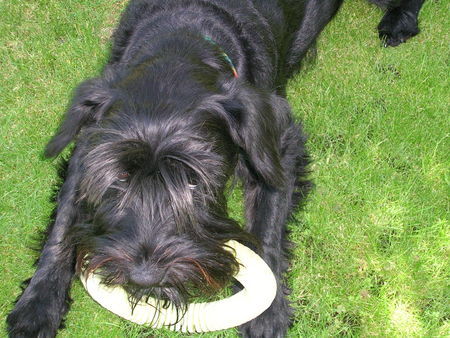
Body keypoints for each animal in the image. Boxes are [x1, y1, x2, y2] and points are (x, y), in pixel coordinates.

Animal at [7, 0, 424, 338]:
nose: (145, 277)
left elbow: (268, 227)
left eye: (194, 181)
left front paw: (267, 313)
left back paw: (398, 22)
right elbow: (62, 222)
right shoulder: (88, 145)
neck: (181, 39)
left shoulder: (278, 144)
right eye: (120, 179)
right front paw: (36, 305)